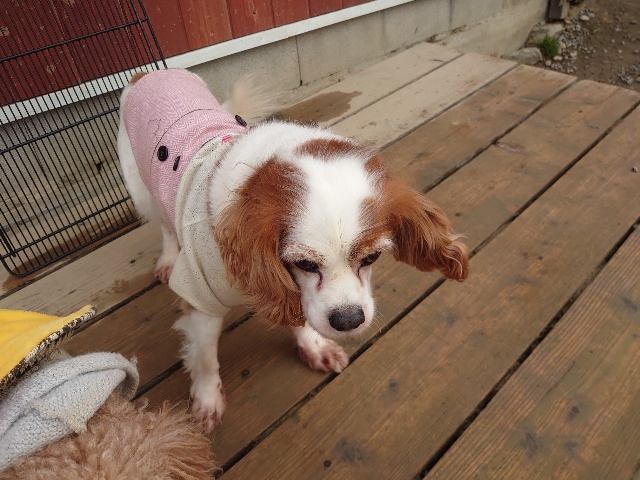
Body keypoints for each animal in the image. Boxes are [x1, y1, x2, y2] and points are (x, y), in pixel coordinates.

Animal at [117, 69, 469, 432]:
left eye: (372, 258)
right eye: (304, 263)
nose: (349, 321)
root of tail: (152, 72)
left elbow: (298, 311)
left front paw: (313, 347)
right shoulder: (201, 299)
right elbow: (204, 358)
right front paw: (206, 399)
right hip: (141, 190)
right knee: (162, 224)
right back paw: (168, 259)